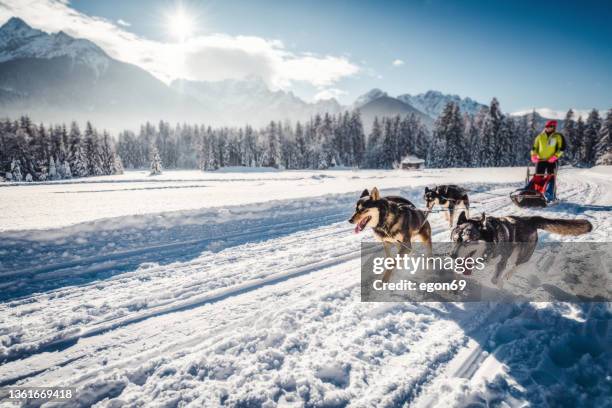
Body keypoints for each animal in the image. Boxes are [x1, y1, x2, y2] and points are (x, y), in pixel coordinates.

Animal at [452, 212, 592, 286]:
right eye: (454, 239)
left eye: (468, 241)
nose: (452, 256)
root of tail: (530, 220)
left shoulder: (502, 260)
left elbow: (495, 279)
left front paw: (498, 284)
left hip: (522, 254)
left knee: (519, 263)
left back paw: (508, 275)